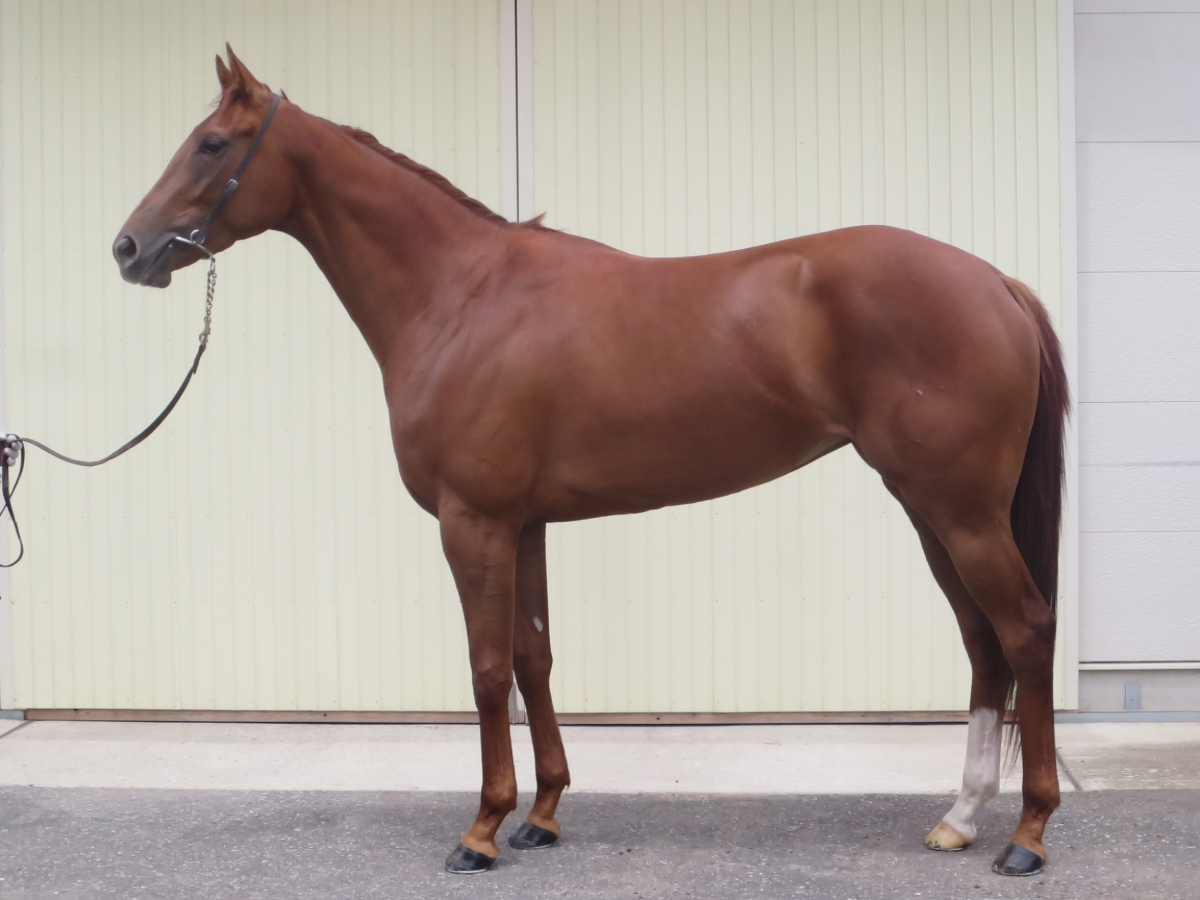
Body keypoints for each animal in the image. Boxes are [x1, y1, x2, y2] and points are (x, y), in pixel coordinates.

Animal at [113, 47, 1068, 878]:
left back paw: (1027, 833)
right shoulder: (525, 523)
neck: (460, 295)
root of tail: (997, 283)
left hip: (959, 511)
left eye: (212, 143)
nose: (128, 249)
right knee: (982, 643)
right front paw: (541, 815)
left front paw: (482, 830)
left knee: (1024, 629)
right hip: (930, 508)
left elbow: (486, 670)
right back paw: (959, 818)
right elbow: (534, 658)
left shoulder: (472, 523)